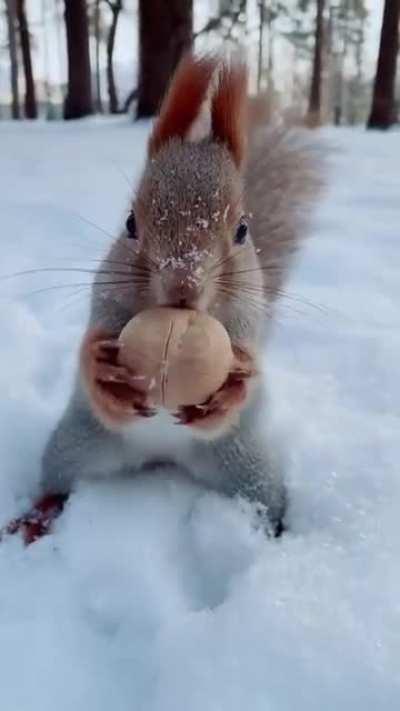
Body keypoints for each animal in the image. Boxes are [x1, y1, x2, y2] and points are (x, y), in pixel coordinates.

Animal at [41, 55, 320, 536]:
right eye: (130, 223)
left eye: (242, 230)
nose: (183, 286)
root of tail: (160, 457)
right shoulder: (105, 301)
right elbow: (91, 360)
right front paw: (99, 368)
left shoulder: (248, 318)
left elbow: (246, 374)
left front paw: (235, 383)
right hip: (73, 447)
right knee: (56, 482)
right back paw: (35, 517)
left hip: (248, 470)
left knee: (267, 500)